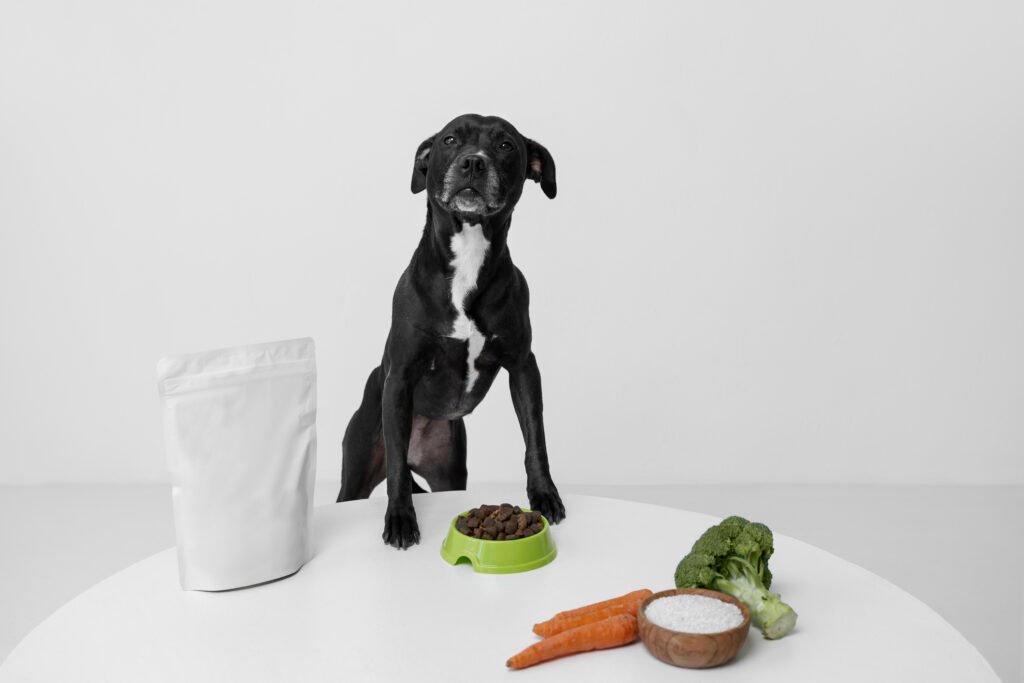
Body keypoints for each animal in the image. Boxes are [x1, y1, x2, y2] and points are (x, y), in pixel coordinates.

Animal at [337, 112, 569, 548]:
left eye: (505, 145)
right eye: (449, 140)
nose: (473, 162)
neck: (469, 255)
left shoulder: (523, 366)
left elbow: (536, 438)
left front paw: (545, 495)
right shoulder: (401, 376)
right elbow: (396, 472)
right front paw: (400, 520)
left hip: (449, 471)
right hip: (356, 471)